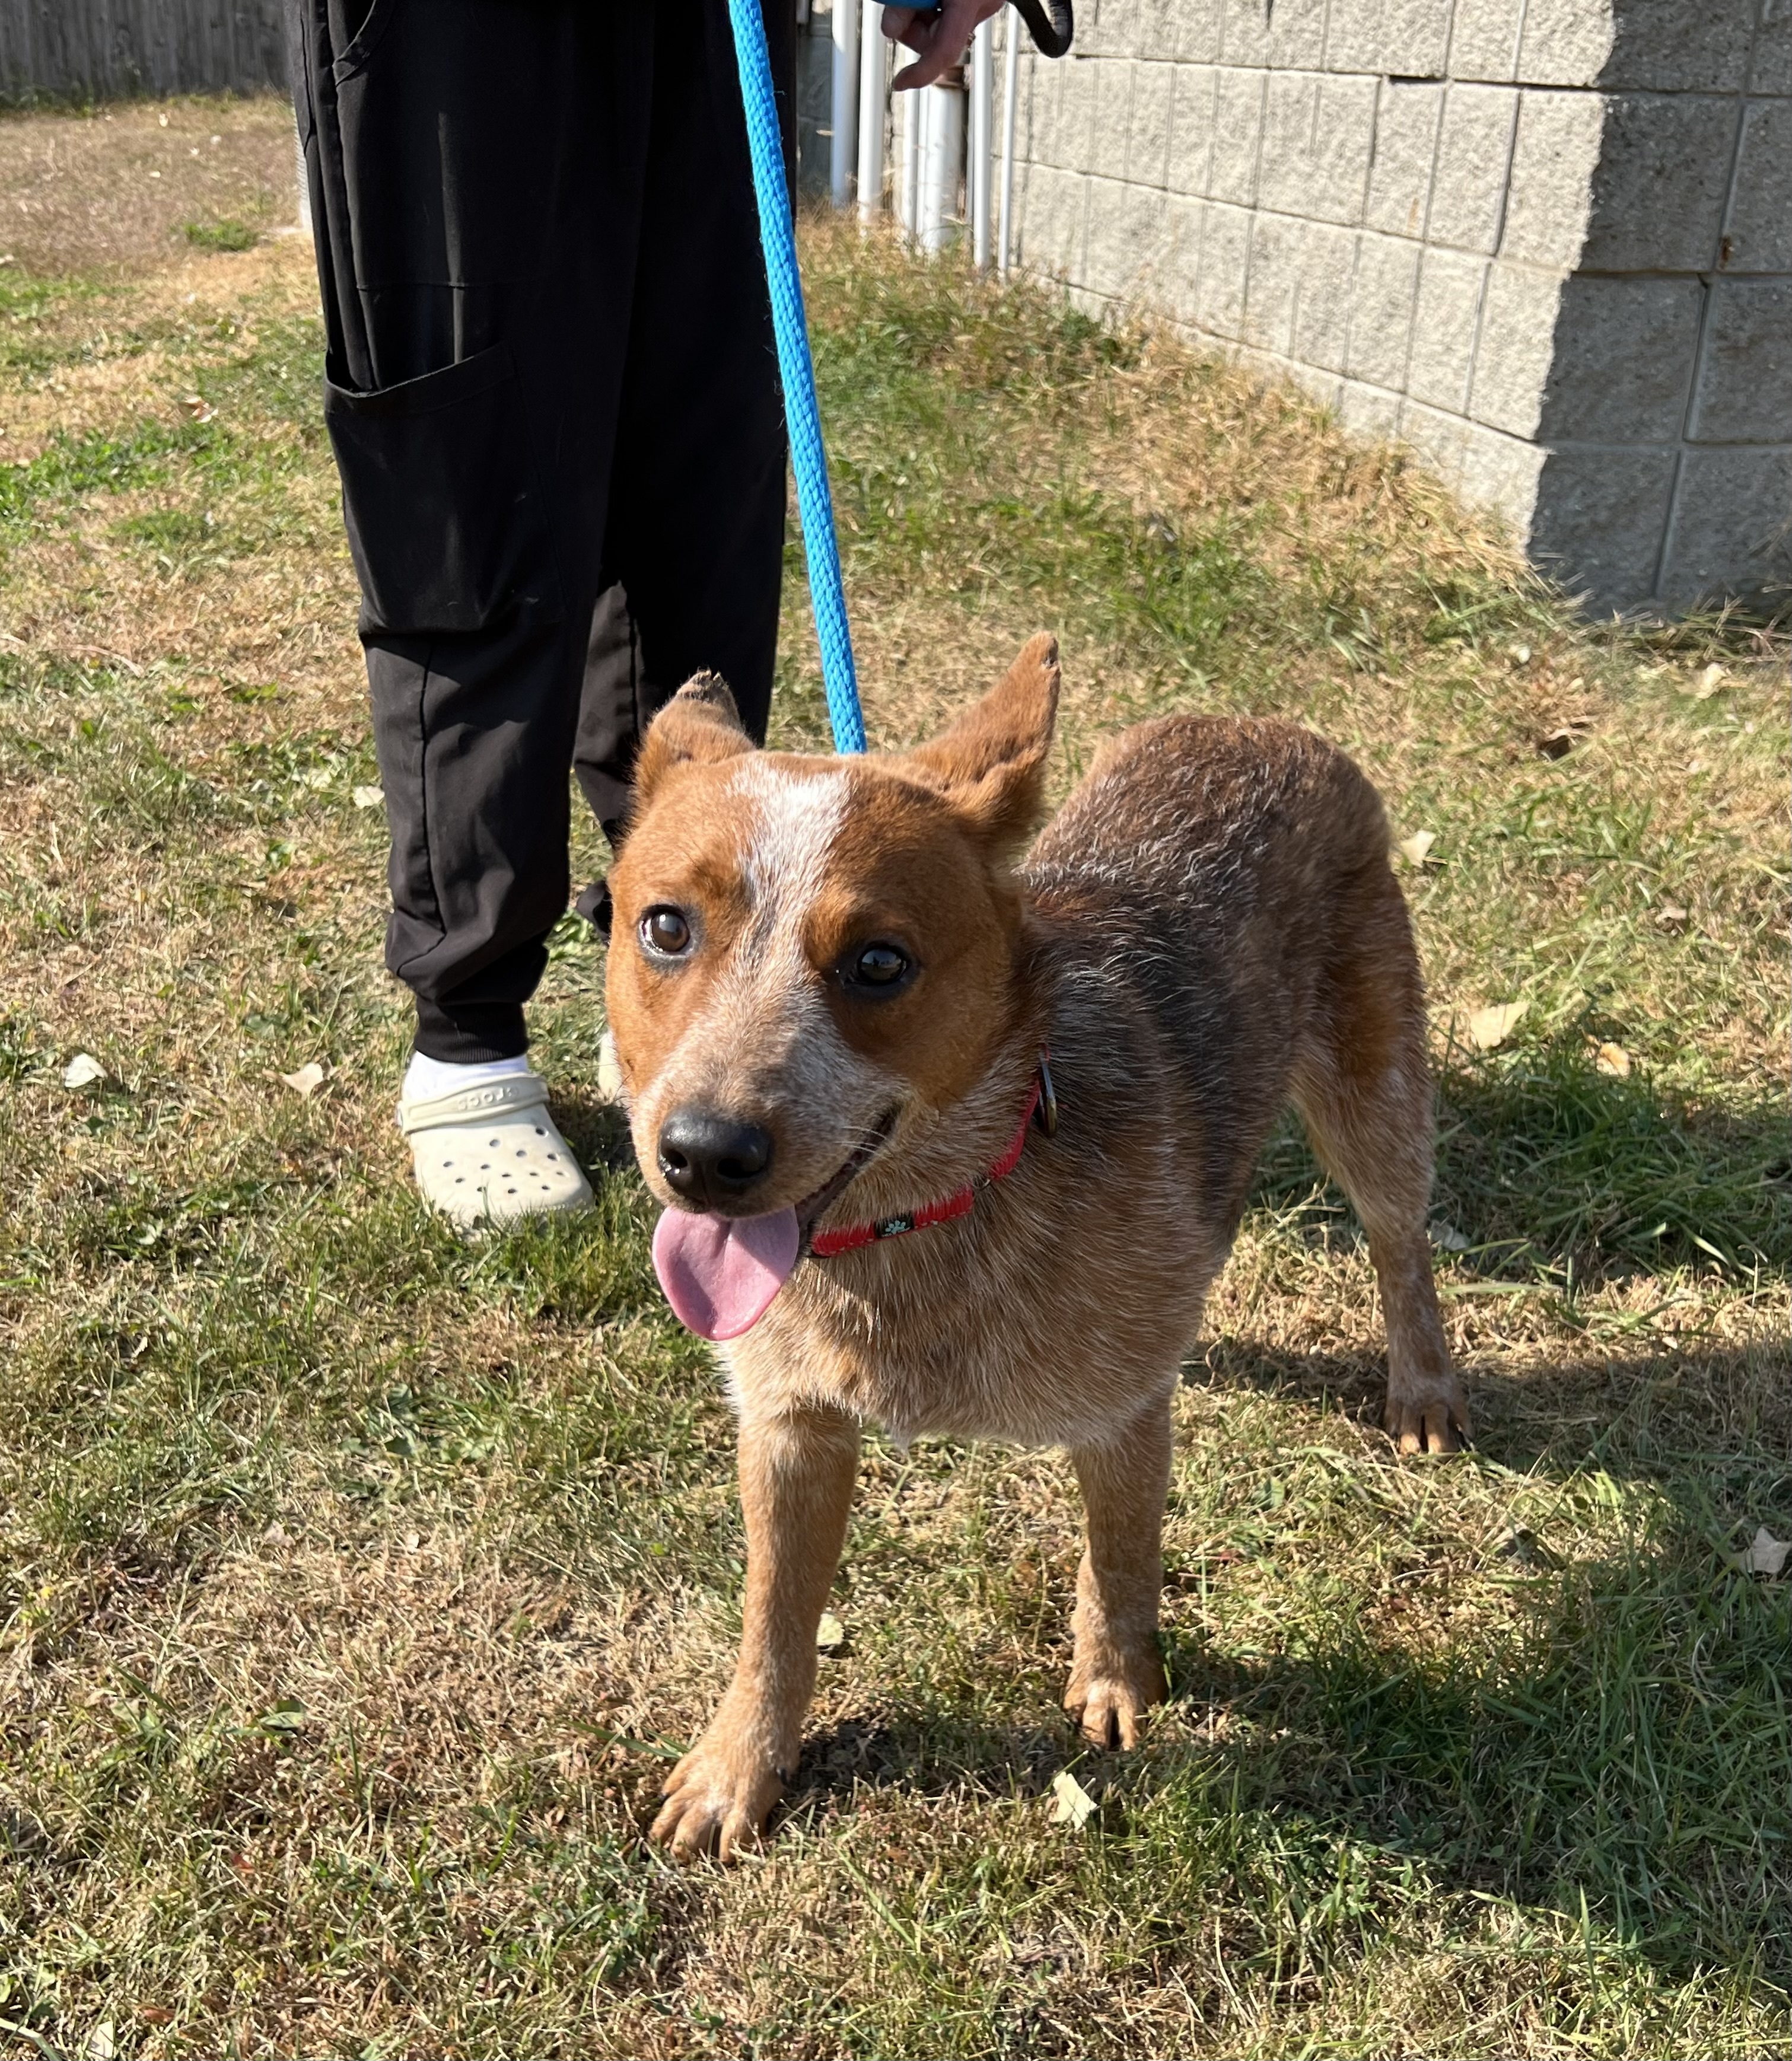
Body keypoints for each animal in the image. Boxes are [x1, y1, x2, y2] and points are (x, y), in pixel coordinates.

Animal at [602, 635, 1468, 1863]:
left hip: (1373, 1091)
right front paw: (739, 1768)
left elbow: (1122, 1556)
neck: (925, 1223)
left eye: (878, 963)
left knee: (1401, 1244)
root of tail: (1266, 728)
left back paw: (1422, 1388)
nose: (704, 1154)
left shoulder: (1118, 1414)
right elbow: (774, 1620)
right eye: (666, 927)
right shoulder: (789, 1425)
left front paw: (1116, 1683)